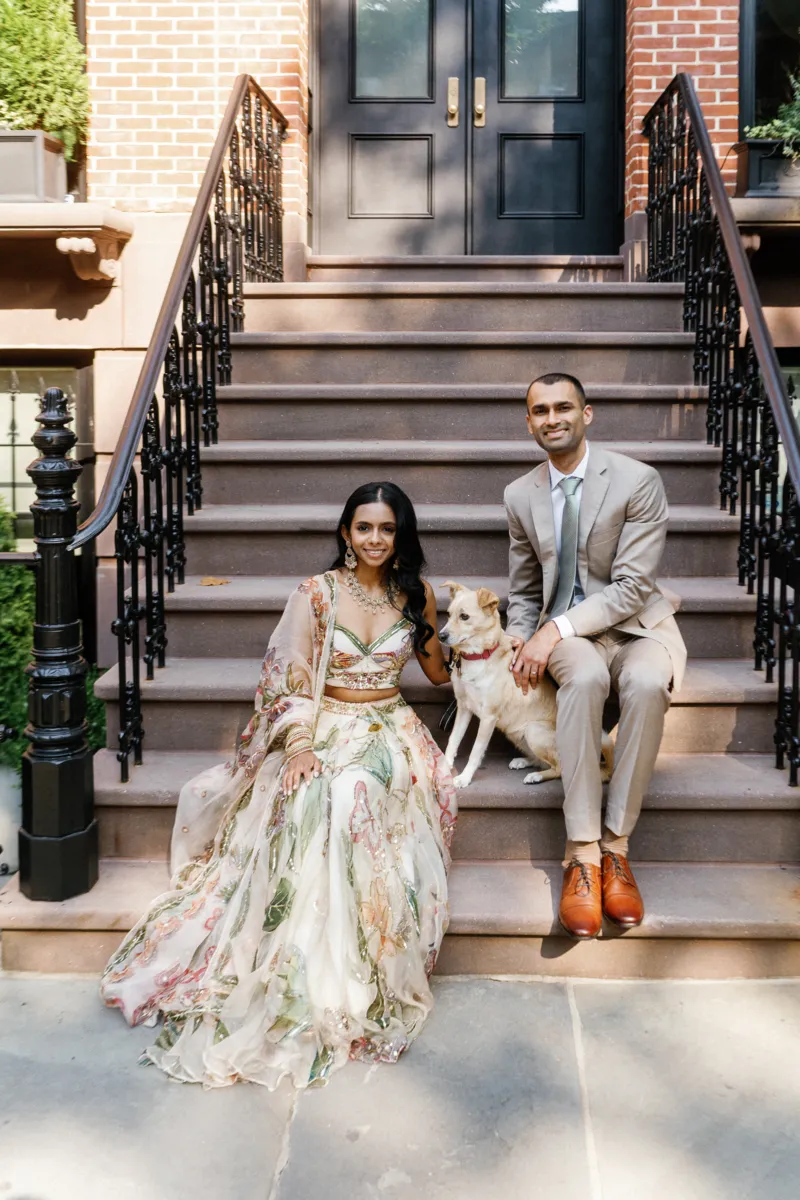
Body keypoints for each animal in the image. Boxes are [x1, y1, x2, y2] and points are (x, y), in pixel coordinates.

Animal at [441, 578, 618, 787]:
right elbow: (452, 741)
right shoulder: (463, 708)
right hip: (517, 734)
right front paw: (443, 767)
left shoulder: (488, 716)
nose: (441, 636)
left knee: (559, 768)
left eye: (464, 616)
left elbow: (476, 751)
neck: (478, 656)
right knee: (542, 760)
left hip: (534, 730)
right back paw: (523, 761)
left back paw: (536, 776)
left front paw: (464, 777)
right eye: (449, 614)